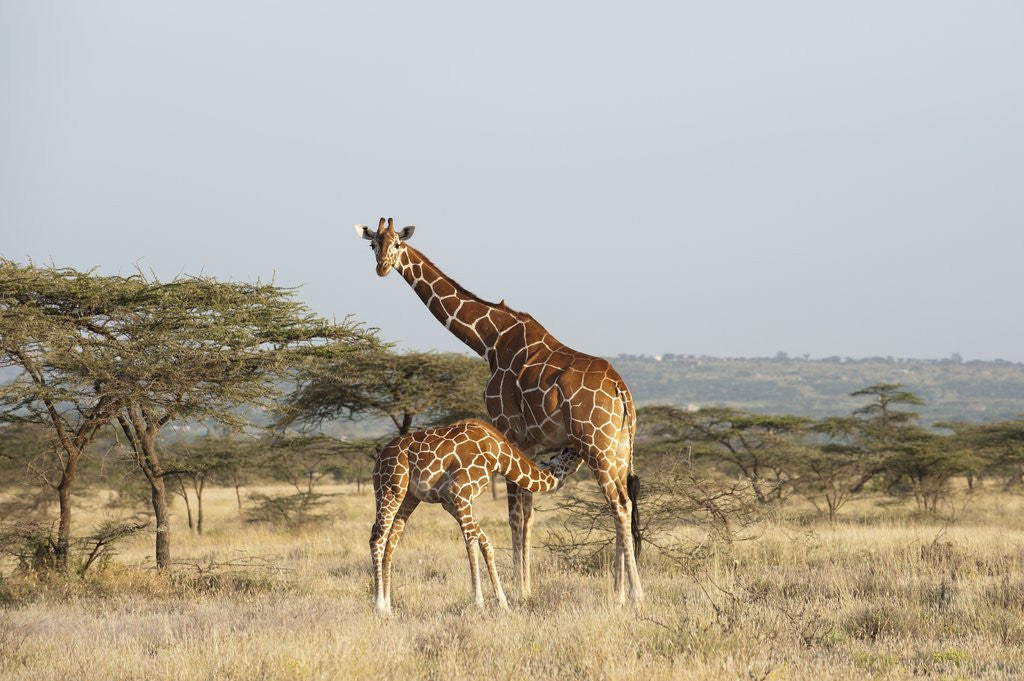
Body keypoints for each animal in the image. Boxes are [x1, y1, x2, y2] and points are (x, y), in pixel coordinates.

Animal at [370, 419, 582, 613]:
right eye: (566, 452)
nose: (578, 451)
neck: (497, 455)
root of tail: (379, 457)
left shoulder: (450, 502)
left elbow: (485, 542)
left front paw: (503, 603)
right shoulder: (460, 493)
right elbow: (471, 541)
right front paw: (478, 602)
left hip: (409, 497)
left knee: (392, 540)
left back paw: (389, 607)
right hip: (390, 488)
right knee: (377, 537)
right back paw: (379, 606)